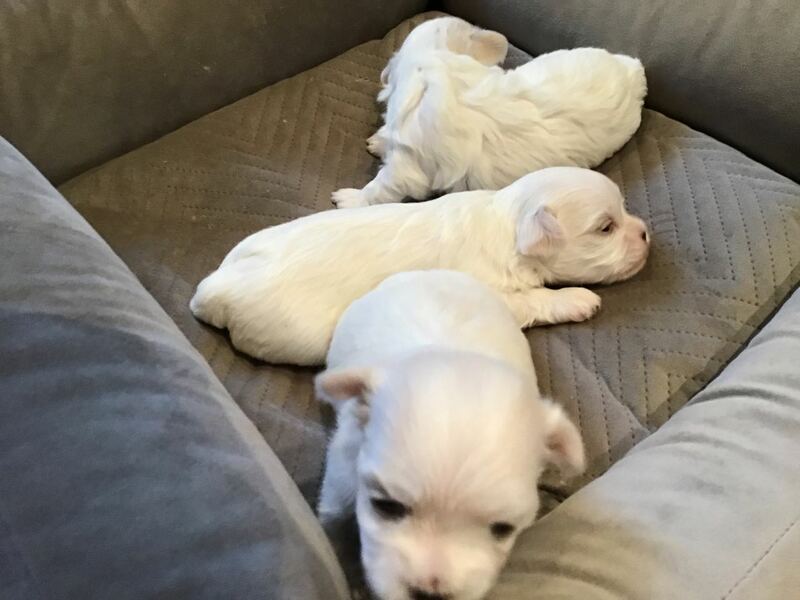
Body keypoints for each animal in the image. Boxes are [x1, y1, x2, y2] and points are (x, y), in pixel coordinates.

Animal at [190, 167, 650, 366]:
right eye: (606, 228)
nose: (646, 234)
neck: (505, 223)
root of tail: (216, 288)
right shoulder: (490, 290)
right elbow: (536, 299)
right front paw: (577, 299)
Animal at [316, 269, 586, 600]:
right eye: (385, 506)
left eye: (503, 528)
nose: (429, 594)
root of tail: (431, 271)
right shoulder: (341, 473)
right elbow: (335, 522)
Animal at [332, 16, 646, 209]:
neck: (434, 59)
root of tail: (636, 72)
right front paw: (379, 140)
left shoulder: (408, 165)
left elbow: (381, 186)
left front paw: (351, 199)